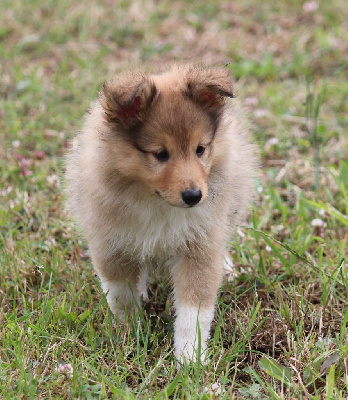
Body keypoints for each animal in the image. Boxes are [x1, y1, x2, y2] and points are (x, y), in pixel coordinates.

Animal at [65, 64, 256, 364]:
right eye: (160, 154)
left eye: (200, 149)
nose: (194, 196)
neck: (157, 203)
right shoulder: (111, 245)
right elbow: (122, 297)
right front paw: (129, 336)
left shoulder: (198, 248)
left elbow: (194, 312)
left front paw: (191, 358)